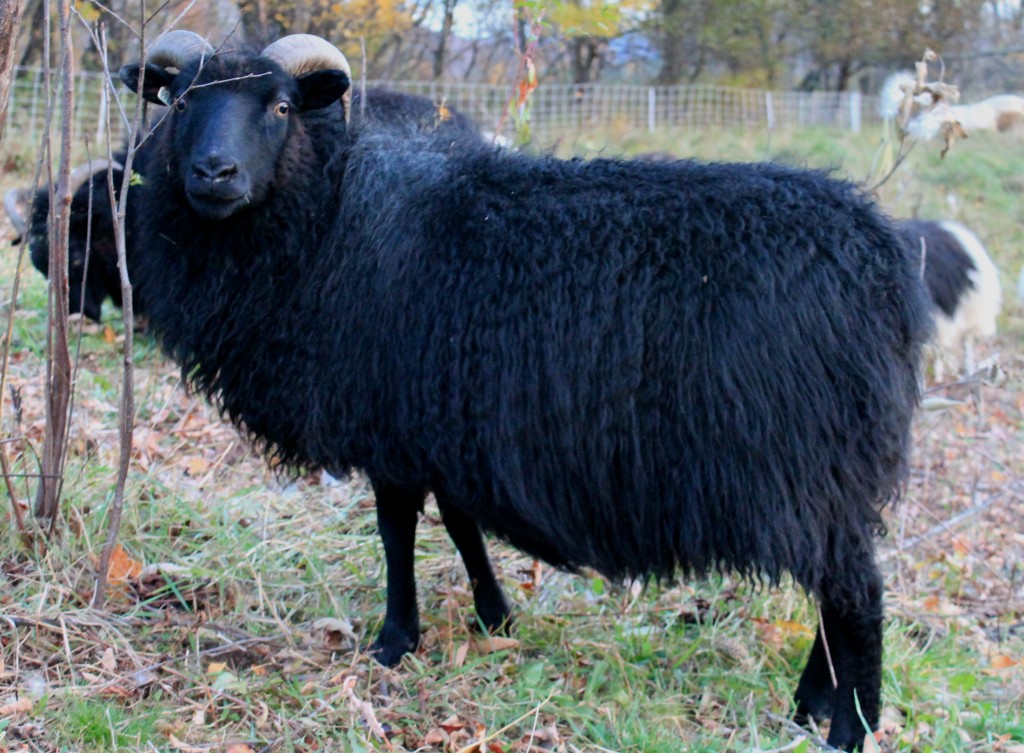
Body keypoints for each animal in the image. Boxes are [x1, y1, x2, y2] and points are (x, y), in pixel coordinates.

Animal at [119, 31, 932, 751]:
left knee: (857, 595)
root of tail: (878, 257)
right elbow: (461, 523)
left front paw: (394, 640)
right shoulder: (441, 419)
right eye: (182, 101)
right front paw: (494, 617)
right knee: (836, 588)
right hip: (825, 467)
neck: (326, 219)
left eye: (282, 106)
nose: (214, 173)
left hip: (802, 458)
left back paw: (849, 728)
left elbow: (398, 533)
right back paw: (810, 703)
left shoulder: (392, 426)